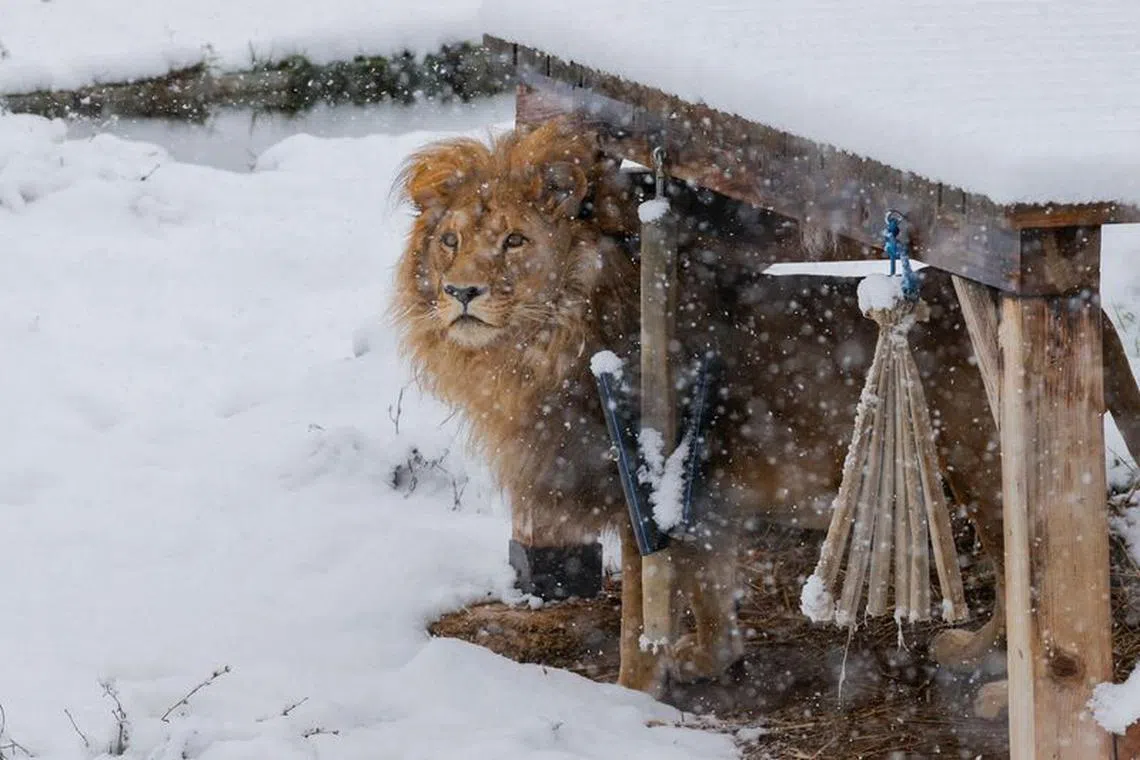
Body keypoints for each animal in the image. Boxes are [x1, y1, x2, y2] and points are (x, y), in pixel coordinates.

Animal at [392, 119, 1140, 701]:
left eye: (515, 242)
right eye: (449, 242)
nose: (461, 292)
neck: (539, 346)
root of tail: (1089, 308)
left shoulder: (643, 485)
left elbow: (642, 615)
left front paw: (632, 697)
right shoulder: (705, 493)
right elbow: (710, 587)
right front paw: (706, 659)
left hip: (982, 460)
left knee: (1036, 589)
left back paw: (996, 680)